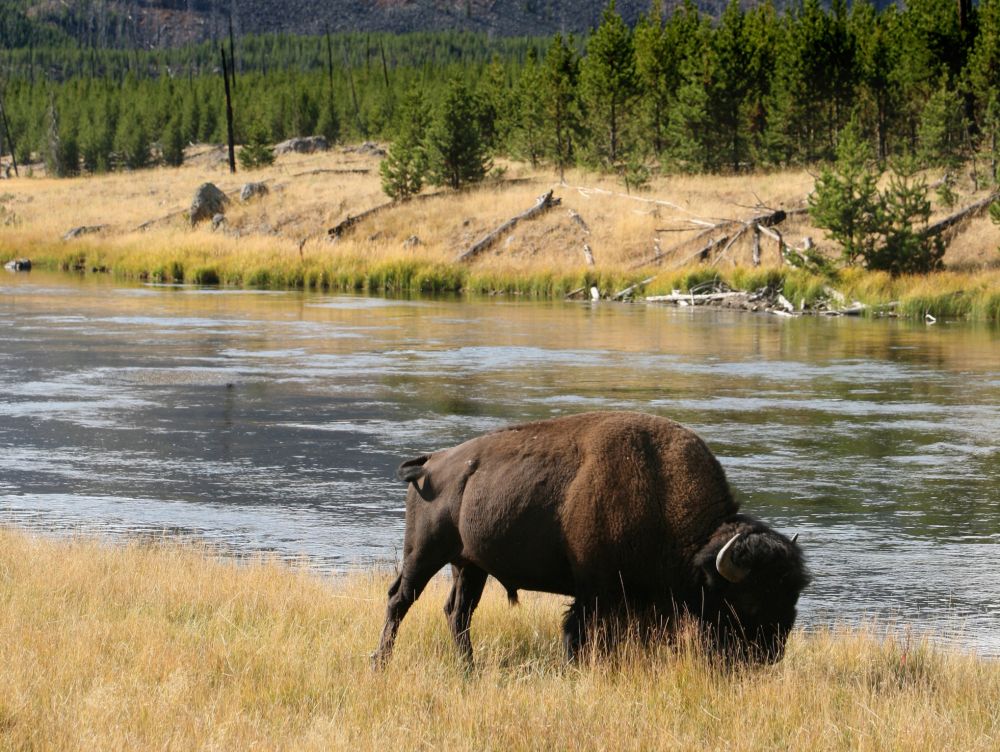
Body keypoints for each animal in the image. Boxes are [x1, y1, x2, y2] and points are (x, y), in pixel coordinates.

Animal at [372, 412, 808, 664]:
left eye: (792, 595)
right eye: (747, 600)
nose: (769, 655)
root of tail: (431, 462)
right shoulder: (595, 593)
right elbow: (576, 635)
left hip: (469, 565)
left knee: (458, 613)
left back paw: (469, 671)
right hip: (423, 553)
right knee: (399, 600)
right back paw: (381, 663)